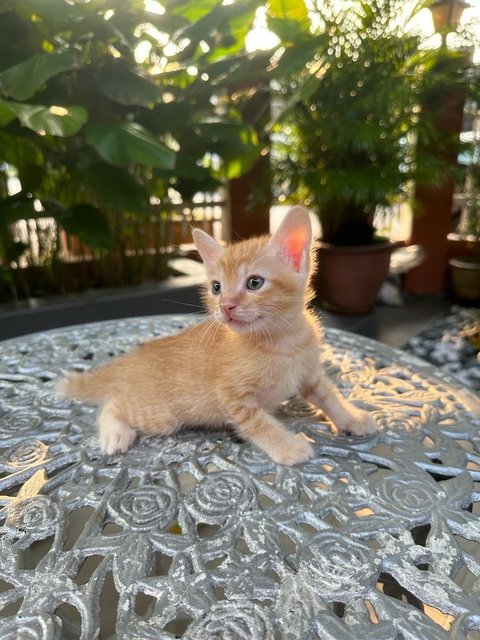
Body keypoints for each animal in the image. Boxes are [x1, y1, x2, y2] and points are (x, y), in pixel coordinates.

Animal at [57, 208, 376, 462]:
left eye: (255, 282)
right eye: (216, 288)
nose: (226, 307)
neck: (284, 343)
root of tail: (133, 358)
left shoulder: (310, 374)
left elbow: (329, 395)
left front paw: (351, 418)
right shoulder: (233, 397)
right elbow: (260, 425)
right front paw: (288, 448)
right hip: (159, 414)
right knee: (112, 403)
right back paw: (115, 432)